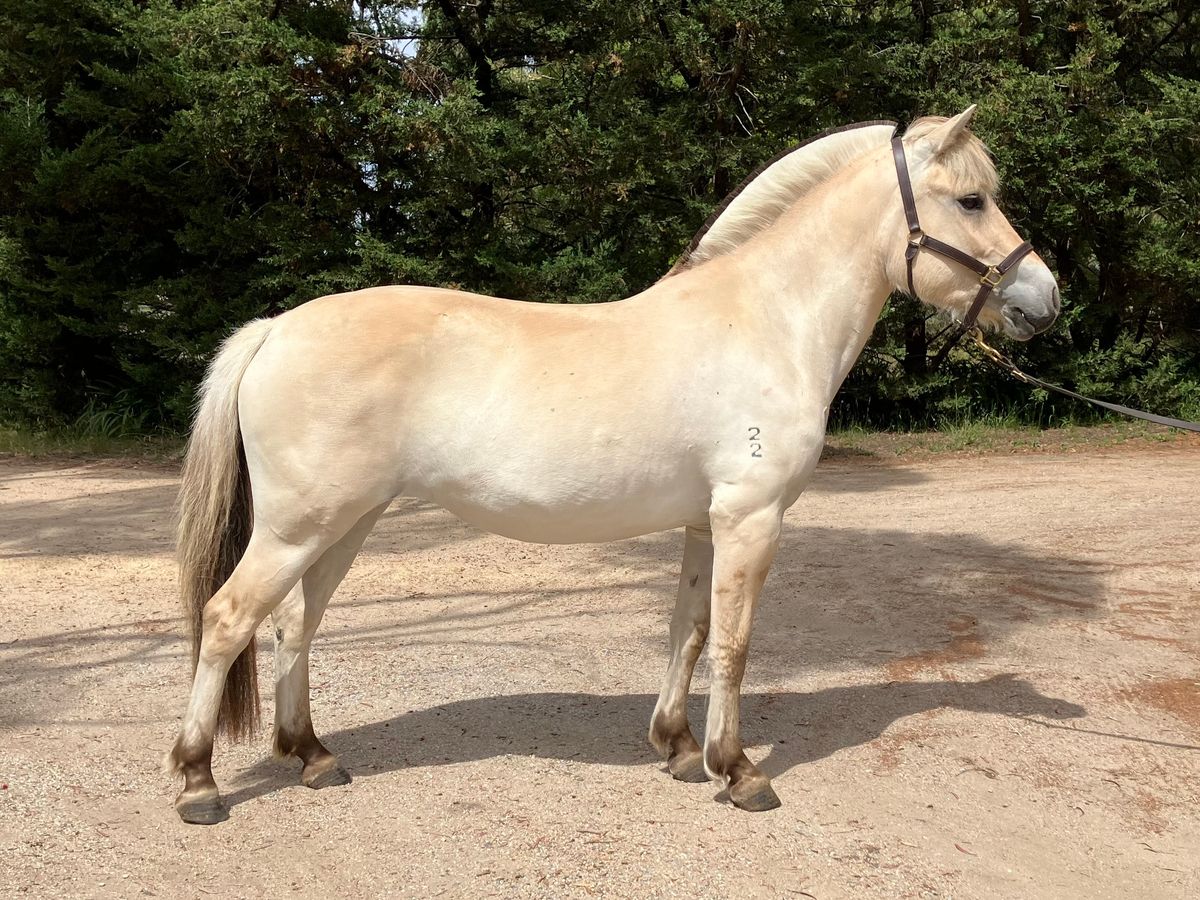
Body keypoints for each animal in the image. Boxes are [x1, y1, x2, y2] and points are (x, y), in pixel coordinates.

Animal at [167, 107, 1060, 824]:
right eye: (971, 200)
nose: (1045, 300)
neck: (766, 321)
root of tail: (276, 329)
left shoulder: (708, 522)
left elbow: (689, 630)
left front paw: (677, 747)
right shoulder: (752, 518)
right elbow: (735, 642)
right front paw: (739, 772)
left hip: (344, 525)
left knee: (295, 623)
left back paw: (313, 756)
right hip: (298, 526)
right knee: (227, 618)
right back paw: (199, 783)